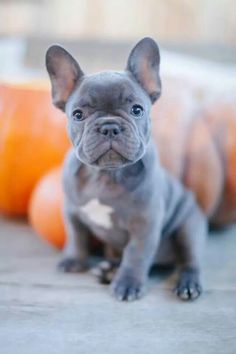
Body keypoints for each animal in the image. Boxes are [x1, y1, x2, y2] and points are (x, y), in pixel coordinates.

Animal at [45, 36, 206, 302]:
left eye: (137, 110)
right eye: (78, 115)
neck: (106, 175)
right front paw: (73, 260)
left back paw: (187, 284)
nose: (109, 126)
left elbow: (135, 254)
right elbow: (77, 237)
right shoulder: (72, 211)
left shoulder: (145, 224)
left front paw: (128, 284)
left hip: (189, 226)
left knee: (190, 259)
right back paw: (108, 269)